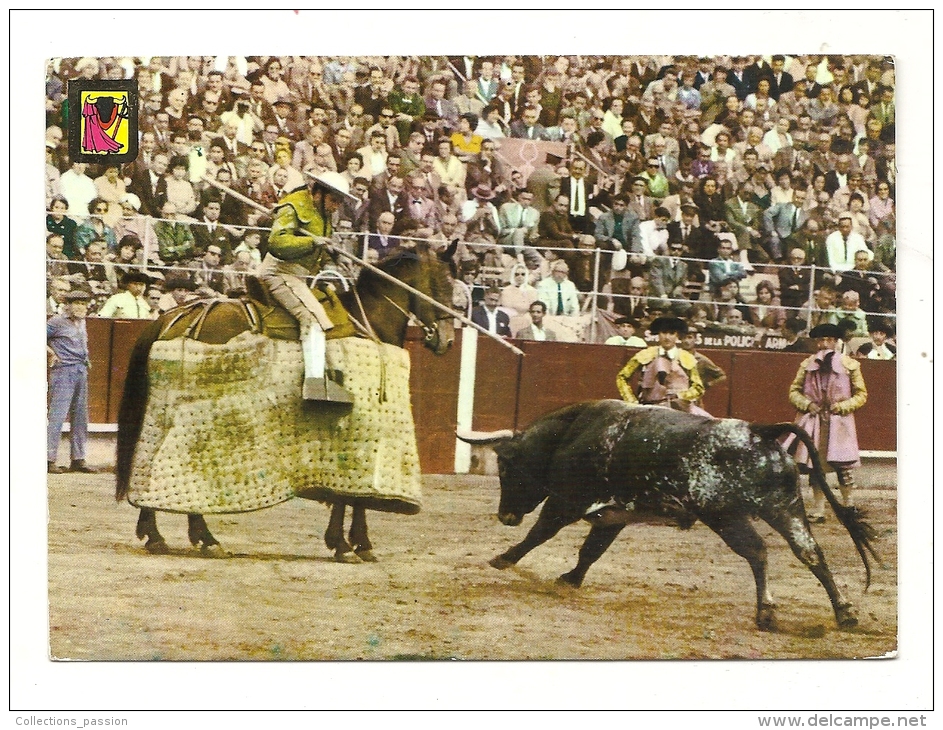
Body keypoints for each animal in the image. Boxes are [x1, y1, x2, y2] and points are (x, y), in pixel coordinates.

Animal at [116, 247, 456, 560]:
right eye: (442, 285)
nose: (448, 340)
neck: (367, 321)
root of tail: (170, 318)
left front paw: (348, 542)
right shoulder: (359, 429)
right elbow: (354, 494)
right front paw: (351, 544)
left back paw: (174, 535)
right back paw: (192, 538)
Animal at [460, 400, 880, 628]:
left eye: (505, 470)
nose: (504, 516)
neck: (570, 435)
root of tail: (759, 431)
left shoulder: (566, 502)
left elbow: (540, 533)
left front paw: (503, 559)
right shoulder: (614, 516)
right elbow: (591, 550)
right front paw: (571, 578)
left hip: (726, 516)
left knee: (758, 552)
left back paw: (766, 613)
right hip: (785, 508)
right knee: (810, 553)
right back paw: (844, 613)